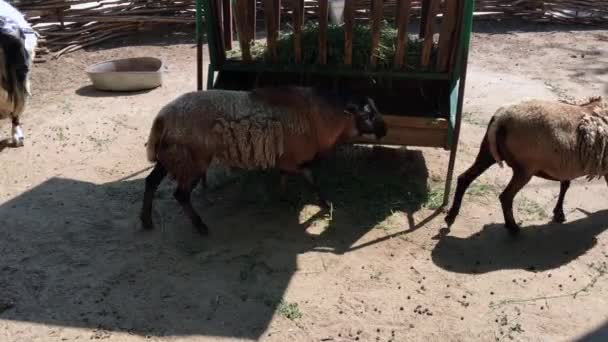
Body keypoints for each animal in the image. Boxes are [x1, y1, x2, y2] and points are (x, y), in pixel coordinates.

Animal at [141, 86, 388, 235]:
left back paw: (146, 221)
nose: (384, 130)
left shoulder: (287, 159)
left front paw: (283, 197)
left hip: (171, 156)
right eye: (366, 114)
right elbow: (311, 178)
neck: (320, 119)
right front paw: (325, 204)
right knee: (180, 195)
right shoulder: (296, 158)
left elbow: (288, 176)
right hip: (192, 160)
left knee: (150, 182)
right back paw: (200, 227)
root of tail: (162, 117)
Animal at [444, 97, 604, 235]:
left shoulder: (566, 166)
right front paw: (559, 213)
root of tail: (501, 117)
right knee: (506, 196)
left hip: (487, 152)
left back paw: (451, 215)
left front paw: (559, 213)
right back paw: (513, 227)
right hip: (525, 168)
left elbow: (565, 185)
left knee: (464, 178)